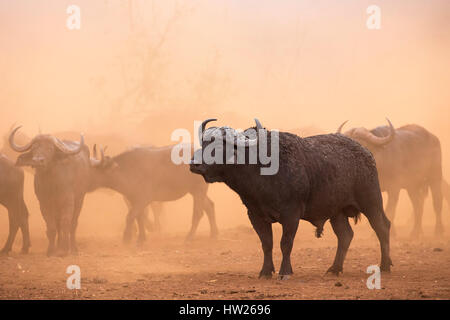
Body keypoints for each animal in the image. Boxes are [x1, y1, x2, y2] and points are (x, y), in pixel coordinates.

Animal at [9, 127, 89, 255]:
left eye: (50, 148)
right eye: (34, 148)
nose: (37, 160)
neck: (51, 183)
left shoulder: (68, 201)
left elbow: (66, 223)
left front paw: (65, 250)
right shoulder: (43, 203)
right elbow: (51, 226)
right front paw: (51, 250)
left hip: (80, 199)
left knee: (73, 224)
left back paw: (73, 249)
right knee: (58, 224)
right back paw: (58, 246)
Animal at [88, 144, 218, 244]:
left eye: (96, 171)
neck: (127, 170)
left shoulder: (143, 199)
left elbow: (130, 216)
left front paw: (127, 238)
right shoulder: (134, 200)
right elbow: (139, 217)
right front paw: (141, 238)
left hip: (199, 190)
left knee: (198, 213)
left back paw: (189, 237)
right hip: (195, 191)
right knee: (210, 206)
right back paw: (213, 233)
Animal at [190, 119, 390, 278]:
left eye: (219, 146)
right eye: (204, 144)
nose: (194, 164)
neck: (260, 168)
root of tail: (367, 153)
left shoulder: (291, 214)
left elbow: (286, 243)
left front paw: (285, 271)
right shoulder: (255, 215)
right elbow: (266, 243)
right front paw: (265, 271)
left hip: (371, 201)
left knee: (382, 227)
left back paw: (385, 265)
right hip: (337, 211)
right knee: (345, 235)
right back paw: (335, 268)